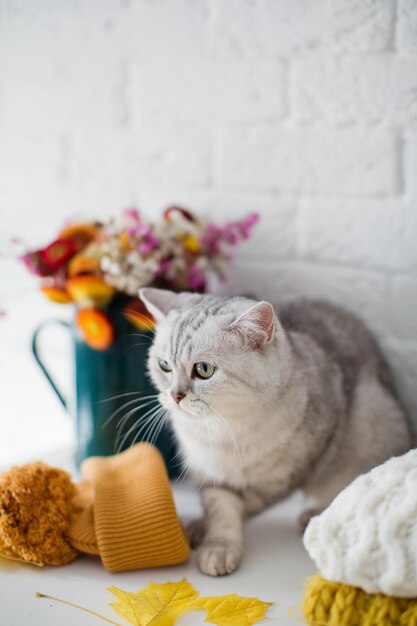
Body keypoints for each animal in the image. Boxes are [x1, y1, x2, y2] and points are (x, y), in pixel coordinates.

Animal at [139, 286, 410, 572]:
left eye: (204, 370)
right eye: (164, 366)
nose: (175, 395)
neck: (225, 430)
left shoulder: (288, 474)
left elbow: (242, 507)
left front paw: (214, 543)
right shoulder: (210, 472)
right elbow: (220, 508)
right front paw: (212, 536)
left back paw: (314, 514)